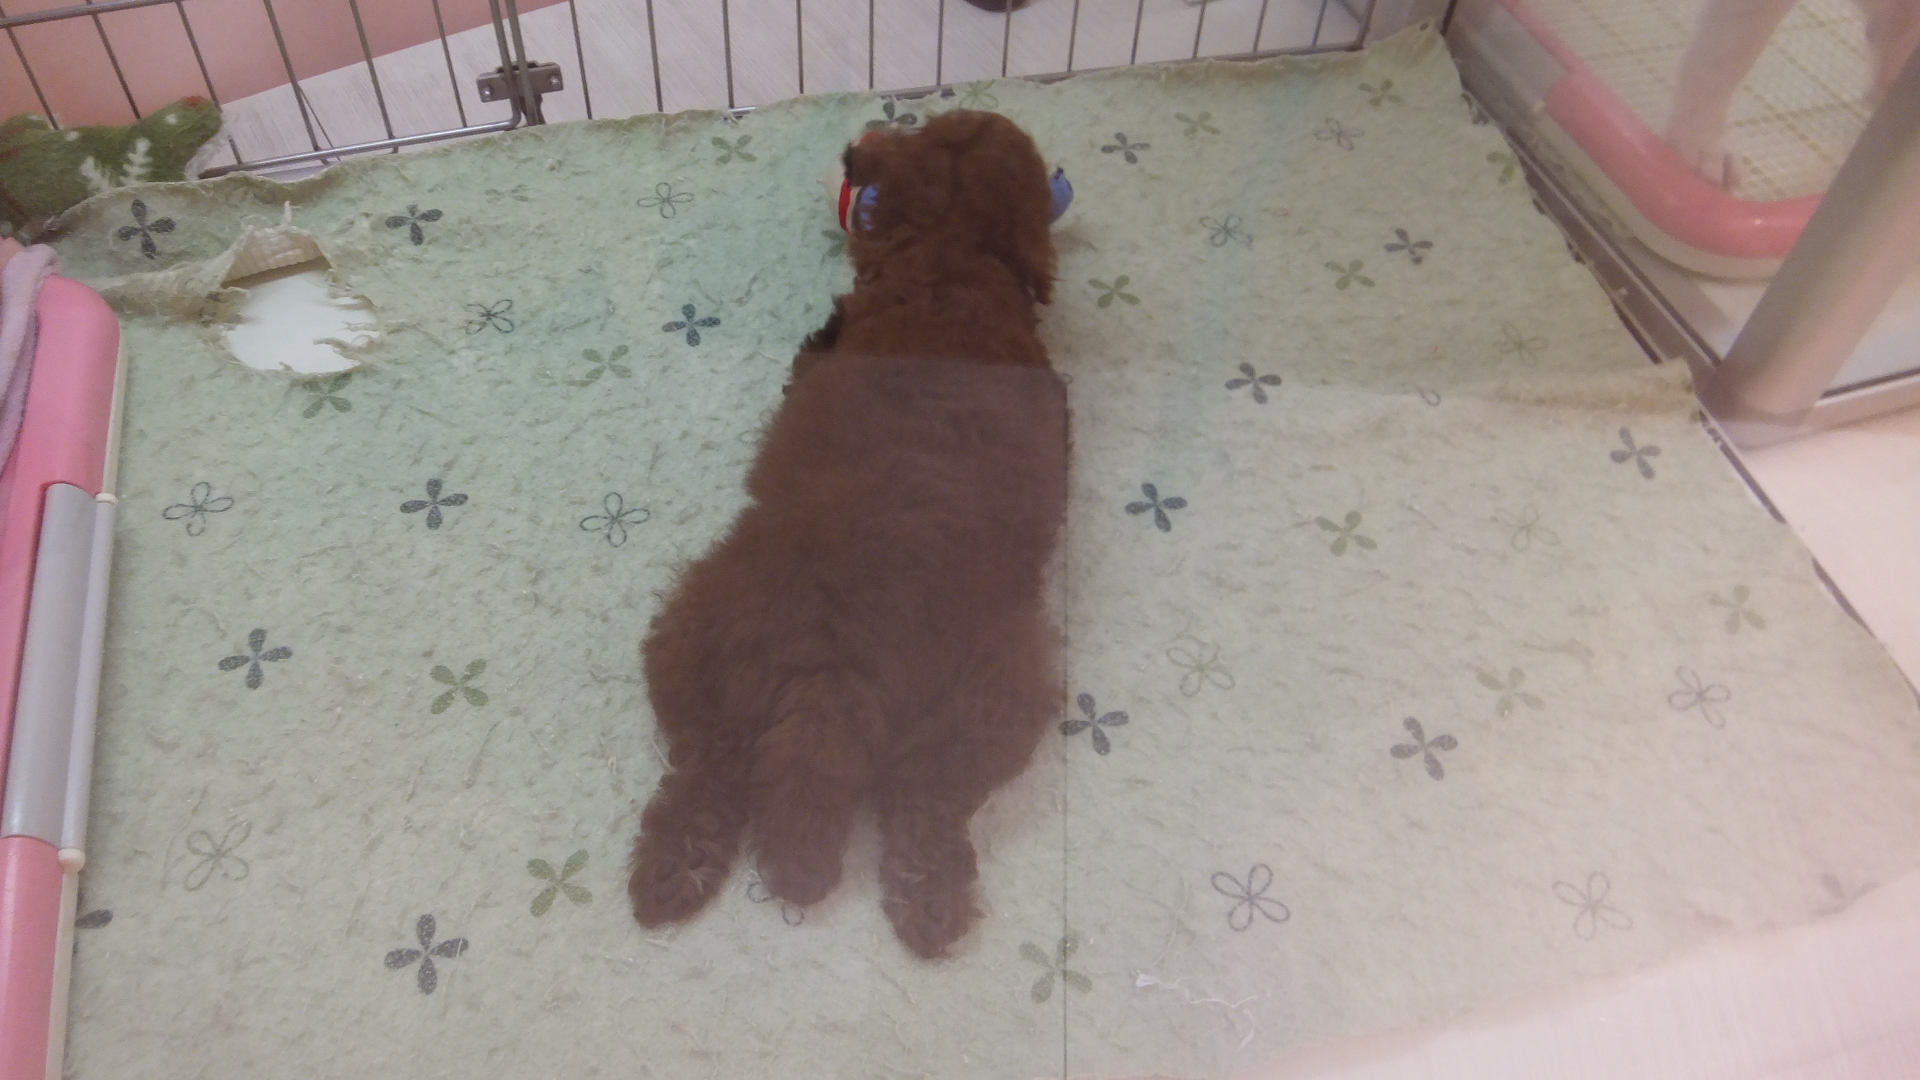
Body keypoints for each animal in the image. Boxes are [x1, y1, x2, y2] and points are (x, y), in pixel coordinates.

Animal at [627, 110, 1068, 960]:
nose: (854, 152)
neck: (954, 255)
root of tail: (832, 672)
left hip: (696, 623)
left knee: (714, 764)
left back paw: (679, 868)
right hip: (993, 684)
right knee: (912, 793)